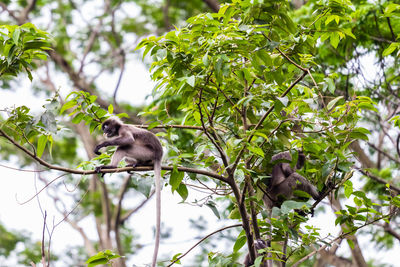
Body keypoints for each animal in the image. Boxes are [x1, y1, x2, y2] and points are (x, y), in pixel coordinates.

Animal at [94, 118, 162, 267]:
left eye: (106, 126)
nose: (104, 131)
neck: (120, 127)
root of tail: (159, 155)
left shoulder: (124, 130)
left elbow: (129, 140)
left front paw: (102, 145)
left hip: (145, 152)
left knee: (123, 147)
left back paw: (111, 166)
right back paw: (135, 164)